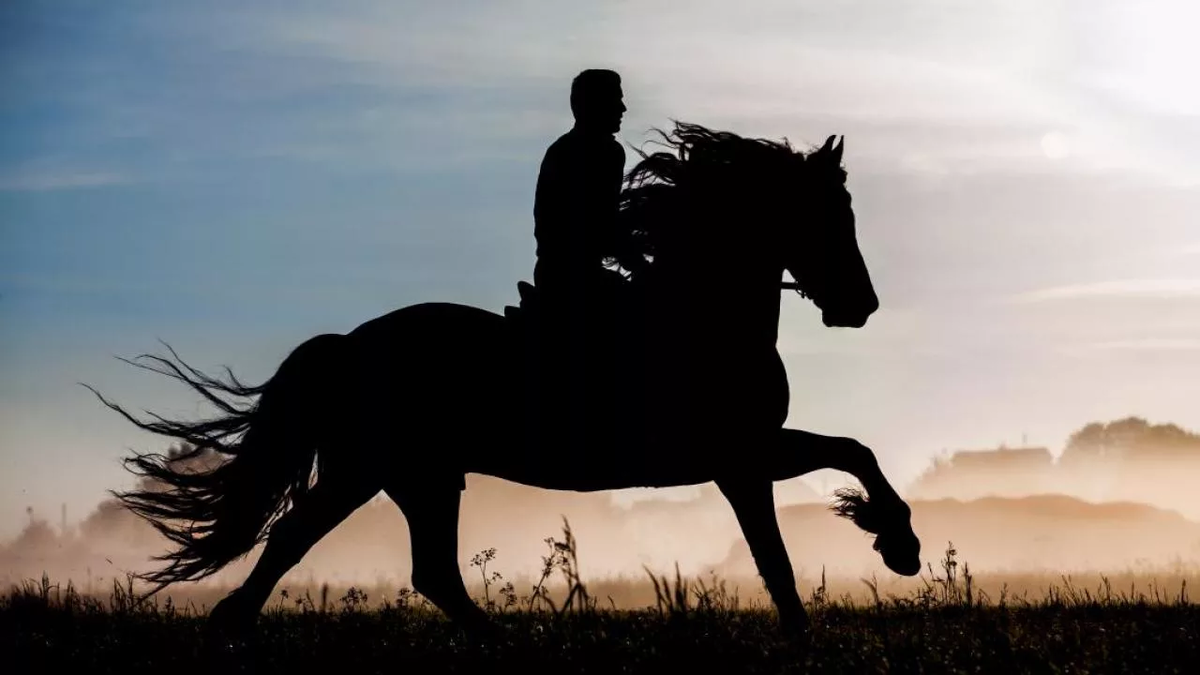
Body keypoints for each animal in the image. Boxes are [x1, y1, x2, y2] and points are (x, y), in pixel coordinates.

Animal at [87, 118, 916, 638]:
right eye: (833, 212)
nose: (863, 305)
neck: (701, 314)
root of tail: (347, 345)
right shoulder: (741, 457)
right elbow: (797, 530)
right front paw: (889, 550)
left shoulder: (747, 455)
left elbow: (838, 473)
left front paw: (883, 546)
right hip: (371, 469)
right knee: (304, 539)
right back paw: (234, 624)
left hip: (420, 476)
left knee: (428, 570)